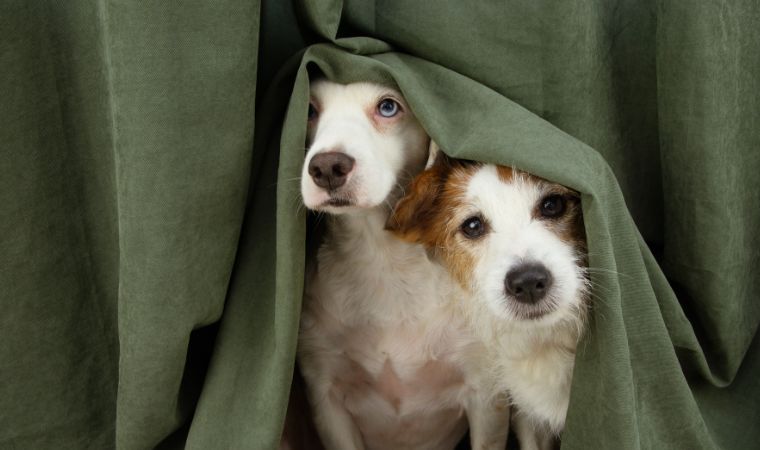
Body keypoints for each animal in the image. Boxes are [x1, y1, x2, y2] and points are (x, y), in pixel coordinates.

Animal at [296, 81, 510, 450]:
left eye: (388, 107)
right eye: (309, 108)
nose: (326, 167)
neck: (383, 260)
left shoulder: (486, 394)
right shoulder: (326, 397)